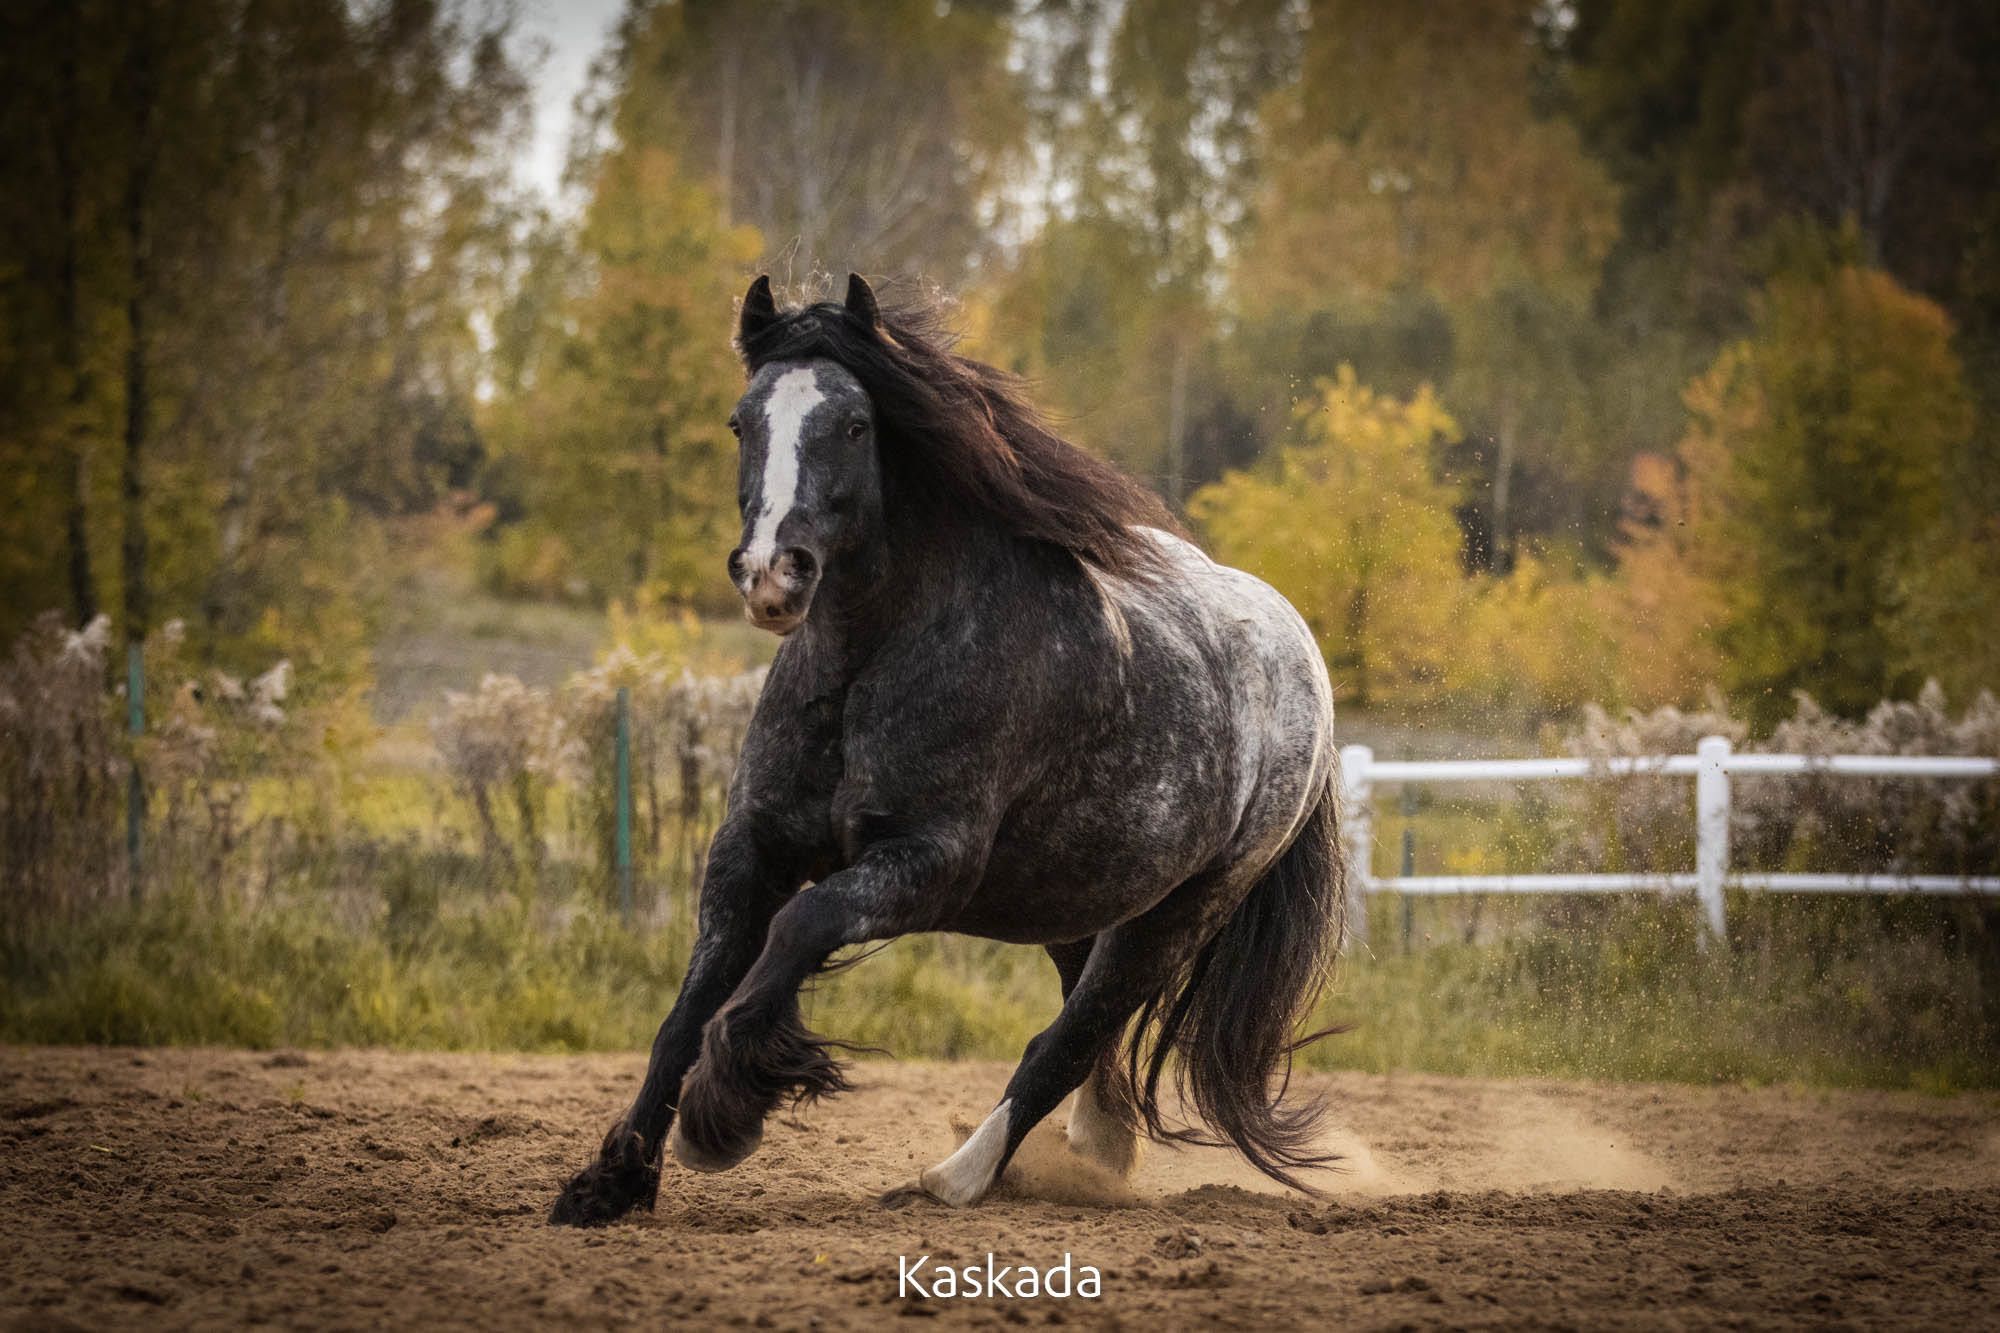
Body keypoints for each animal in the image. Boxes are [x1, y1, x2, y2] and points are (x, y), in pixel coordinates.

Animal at [548, 274, 1344, 1216]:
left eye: (856, 424)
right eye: (742, 422)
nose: (774, 572)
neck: (870, 664)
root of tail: (1299, 651)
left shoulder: (926, 861)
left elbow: (798, 928)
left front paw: (722, 1113)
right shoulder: (752, 844)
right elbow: (686, 1006)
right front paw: (610, 1180)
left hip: (1178, 914)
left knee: (1069, 1039)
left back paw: (955, 1177)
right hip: (1078, 901)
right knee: (1086, 1030)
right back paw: (1096, 1148)